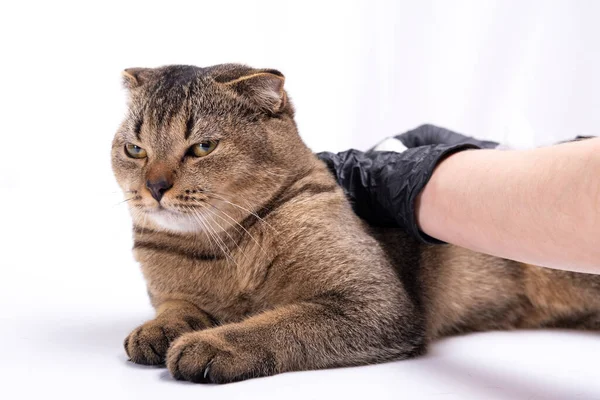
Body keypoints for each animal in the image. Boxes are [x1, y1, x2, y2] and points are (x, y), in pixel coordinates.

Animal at [112, 65, 600, 384]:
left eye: (203, 147)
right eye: (135, 149)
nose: (155, 186)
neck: (221, 247)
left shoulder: (373, 303)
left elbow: (279, 323)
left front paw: (215, 343)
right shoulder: (170, 292)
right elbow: (176, 307)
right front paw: (158, 330)